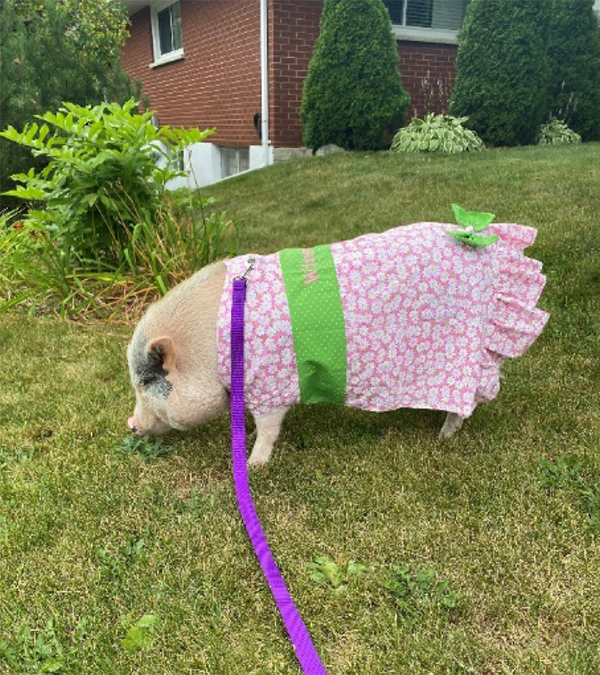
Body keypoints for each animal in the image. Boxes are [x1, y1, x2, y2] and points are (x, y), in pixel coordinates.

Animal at [127, 222, 549, 466]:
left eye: (146, 382)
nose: (131, 424)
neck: (213, 346)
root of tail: (486, 246)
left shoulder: (269, 386)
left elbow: (269, 428)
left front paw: (252, 466)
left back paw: (443, 436)